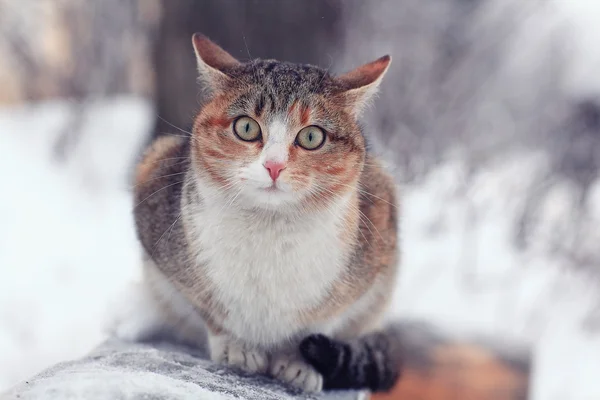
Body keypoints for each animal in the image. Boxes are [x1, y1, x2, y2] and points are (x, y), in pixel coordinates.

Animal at [116, 32, 398, 392]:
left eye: (311, 136)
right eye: (247, 128)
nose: (274, 166)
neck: (269, 229)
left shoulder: (377, 240)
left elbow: (324, 319)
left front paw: (297, 361)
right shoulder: (155, 190)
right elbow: (207, 307)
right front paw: (235, 346)